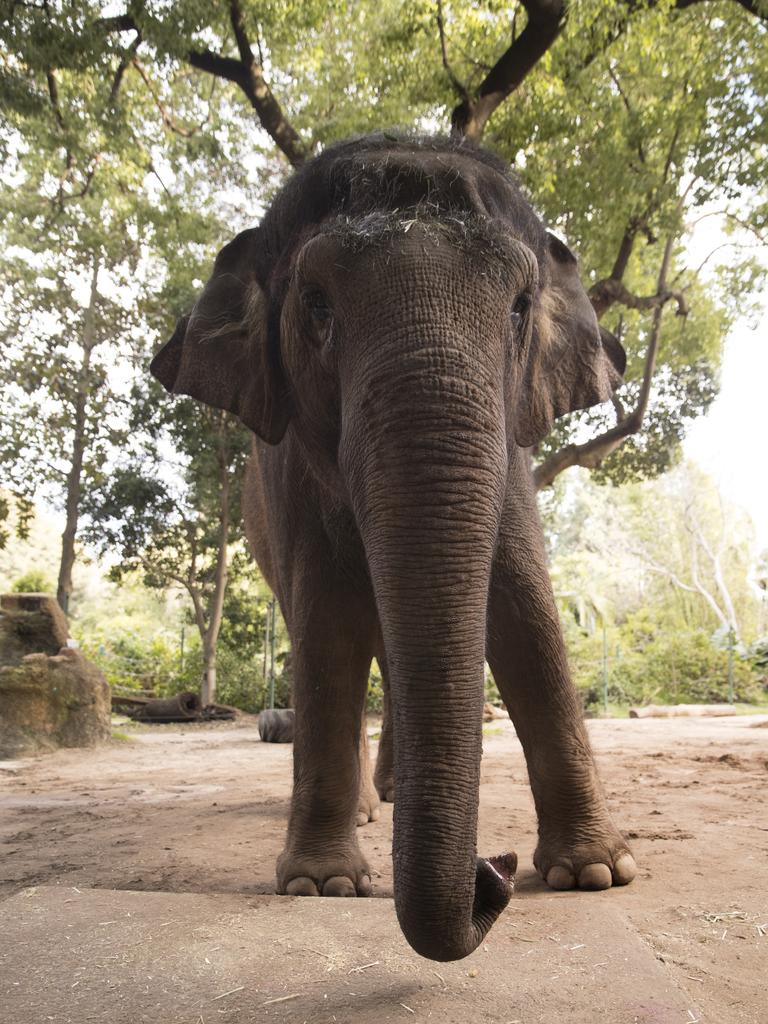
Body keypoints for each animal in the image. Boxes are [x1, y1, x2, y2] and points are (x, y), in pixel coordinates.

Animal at [150, 132, 638, 962]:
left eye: (519, 306)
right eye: (316, 305)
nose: (494, 868)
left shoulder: (513, 457)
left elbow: (527, 614)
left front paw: (598, 873)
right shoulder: (297, 478)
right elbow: (326, 629)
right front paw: (322, 885)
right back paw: (364, 813)